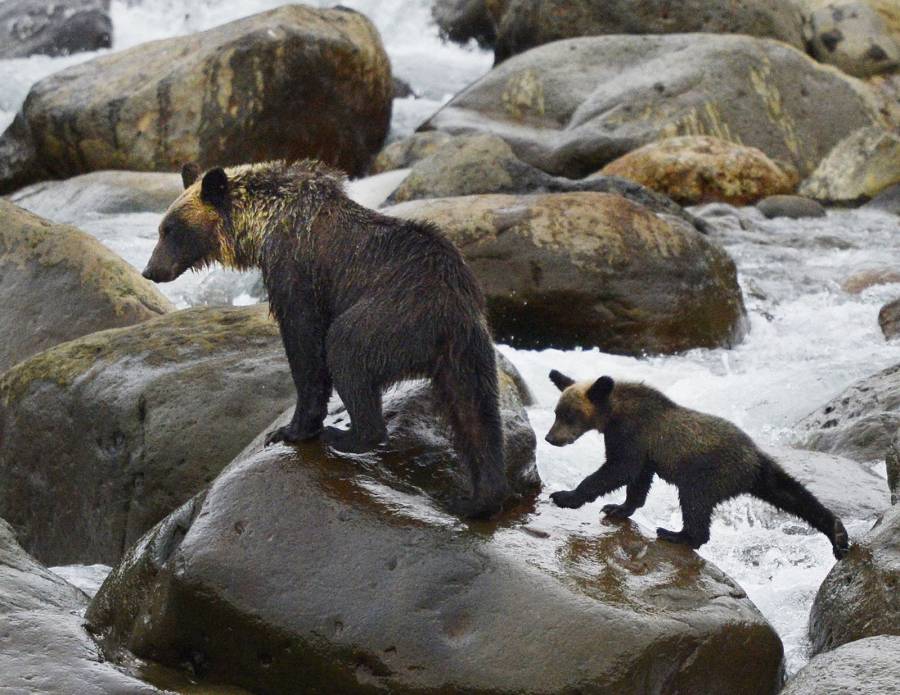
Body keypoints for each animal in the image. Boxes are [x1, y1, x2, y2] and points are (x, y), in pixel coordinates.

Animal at [140, 159, 506, 516]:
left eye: (171, 228)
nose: (150, 270)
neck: (263, 227)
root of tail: (450, 308)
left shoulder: (296, 271)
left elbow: (305, 346)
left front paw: (289, 430)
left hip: (392, 317)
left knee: (346, 350)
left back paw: (348, 435)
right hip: (467, 348)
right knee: (475, 410)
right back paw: (479, 496)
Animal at [544, 370, 848, 560]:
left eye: (569, 415)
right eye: (556, 412)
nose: (550, 438)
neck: (614, 413)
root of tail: (752, 462)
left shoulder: (633, 434)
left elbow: (619, 469)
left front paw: (565, 496)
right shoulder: (644, 450)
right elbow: (638, 480)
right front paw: (619, 507)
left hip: (708, 474)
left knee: (695, 502)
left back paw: (677, 534)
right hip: (762, 475)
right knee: (791, 492)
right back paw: (838, 534)